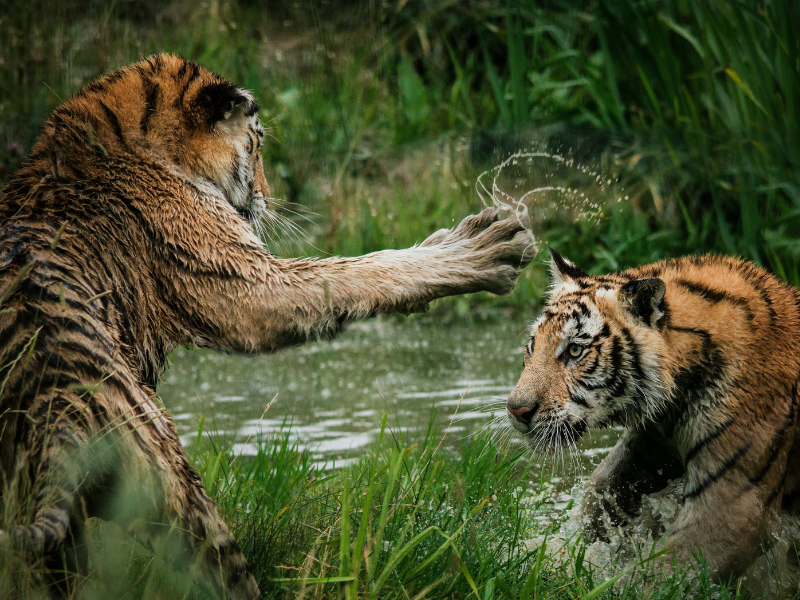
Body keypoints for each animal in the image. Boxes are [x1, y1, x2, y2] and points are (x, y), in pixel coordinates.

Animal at [0, 53, 535, 598]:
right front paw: (484, 248)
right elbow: (358, 271)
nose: (268, 196)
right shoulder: (248, 285)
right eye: (256, 146)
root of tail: (53, 406)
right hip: (168, 477)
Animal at [506, 248, 800, 582]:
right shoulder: (652, 443)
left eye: (575, 351)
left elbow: (664, 573)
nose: (516, 409)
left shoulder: (735, 505)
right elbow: (600, 490)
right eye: (532, 346)